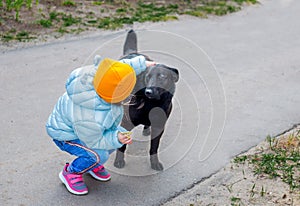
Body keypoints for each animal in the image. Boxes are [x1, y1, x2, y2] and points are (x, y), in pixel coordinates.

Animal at [112, 29, 178, 171]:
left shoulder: (159, 127)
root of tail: (131, 52)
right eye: (147, 77)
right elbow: (122, 146)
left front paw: (154, 163)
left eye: (162, 77)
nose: (149, 91)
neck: (150, 104)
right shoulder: (126, 123)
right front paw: (119, 161)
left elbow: (154, 148)